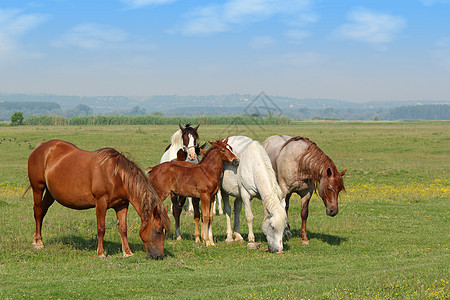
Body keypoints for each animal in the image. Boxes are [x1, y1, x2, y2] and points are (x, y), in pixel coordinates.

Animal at [26, 139, 171, 258]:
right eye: (158, 231)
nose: (159, 256)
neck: (117, 175)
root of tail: (40, 147)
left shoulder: (122, 205)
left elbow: (123, 229)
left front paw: (127, 252)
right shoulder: (101, 202)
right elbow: (101, 228)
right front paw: (101, 253)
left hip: (50, 194)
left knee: (42, 212)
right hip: (38, 188)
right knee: (38, 212)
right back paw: (38, 243)